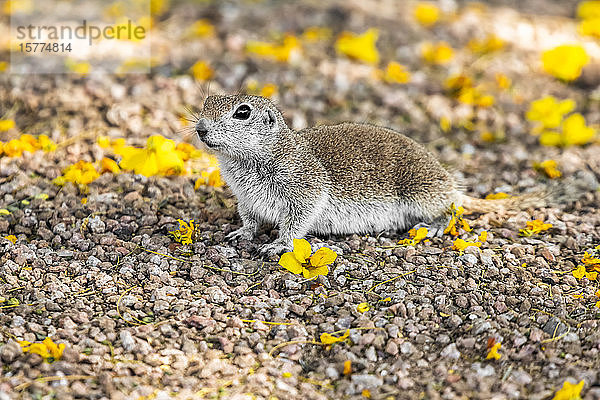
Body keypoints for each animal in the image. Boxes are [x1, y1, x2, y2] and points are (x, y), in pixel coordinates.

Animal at [196, 94, 540, 256]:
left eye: (242, 112)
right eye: (206, 102)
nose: (200, 128)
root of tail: (448, 183)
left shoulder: (306, 189)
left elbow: (297, 221)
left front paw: (278, 245)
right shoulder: (245, 198)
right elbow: (250, 219)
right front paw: (241, 233)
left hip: (423, 195)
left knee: (450, 211)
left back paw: (431, 227)